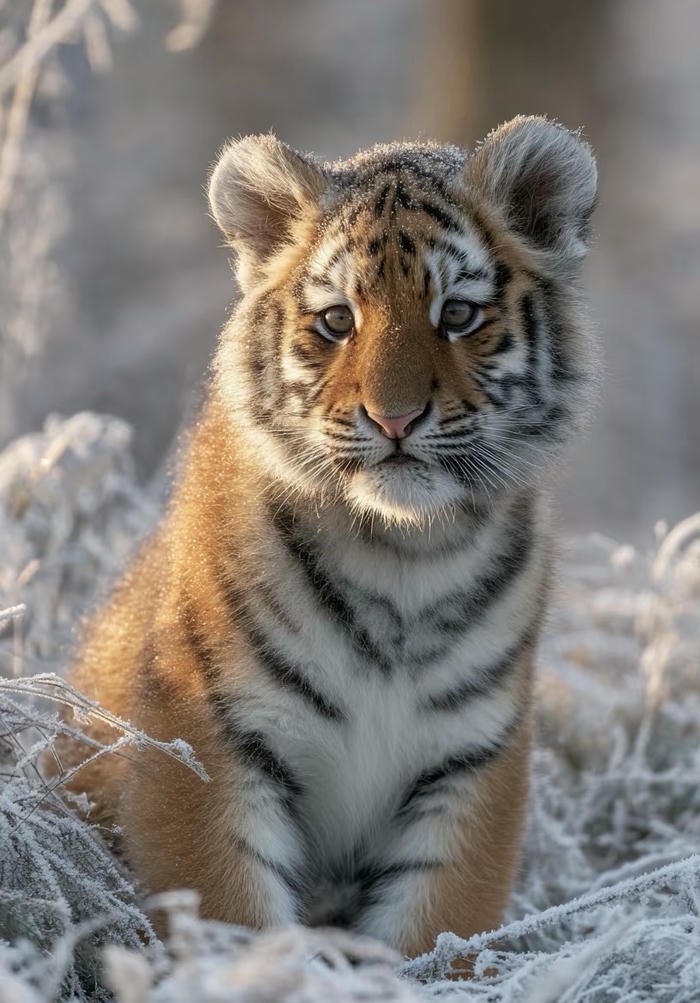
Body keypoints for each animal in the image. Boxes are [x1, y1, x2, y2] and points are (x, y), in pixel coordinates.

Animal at [55, 115, 597, 955]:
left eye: (458, 314)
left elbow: (437, 934)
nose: (396, 418)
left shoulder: (473, 759)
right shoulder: (202, 739)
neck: (407, 553)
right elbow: (229, 919)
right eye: (338, 320)